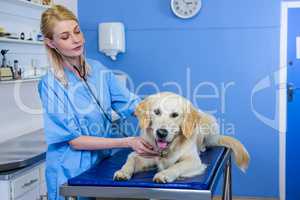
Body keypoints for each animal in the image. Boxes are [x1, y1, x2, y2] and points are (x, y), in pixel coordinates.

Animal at [112, 92, 248, 183]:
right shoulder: (143, 153)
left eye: (175, 115)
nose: (161, 133)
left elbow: (177, 165)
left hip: (210, 125)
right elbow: (131, 158)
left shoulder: (194, 160)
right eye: (156, 112)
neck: (167, 149)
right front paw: (123, 171)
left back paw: (202, 147)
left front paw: (164, 174)